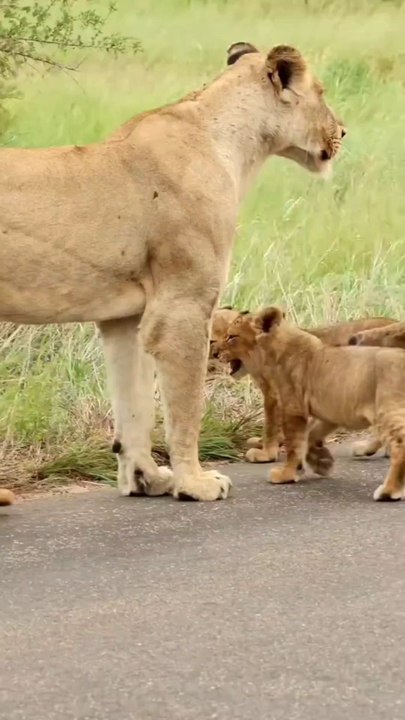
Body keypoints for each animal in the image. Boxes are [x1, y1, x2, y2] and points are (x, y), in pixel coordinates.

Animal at [0, 42, 345, 502]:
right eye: (321, 92)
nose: (343, 132)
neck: (234, 145)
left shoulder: (126, 319)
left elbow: (135, 406)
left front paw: (147, 478)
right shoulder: (184, 305)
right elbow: (185, 406)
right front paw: (195, 483)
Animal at [214, 309, 396, 463]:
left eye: (231, 336)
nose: (215, 353)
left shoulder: (275, 394)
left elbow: (271, 424)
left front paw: (266, 454)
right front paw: (266, 442)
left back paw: (366, 449)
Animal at [251, 307, 405, 501]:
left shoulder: (290, 404)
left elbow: (290, 441)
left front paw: (285, 472)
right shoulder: (331, 409)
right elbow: (310, 435)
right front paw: (320, 462)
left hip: (386, 409)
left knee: (399, 445)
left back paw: (388, 491)